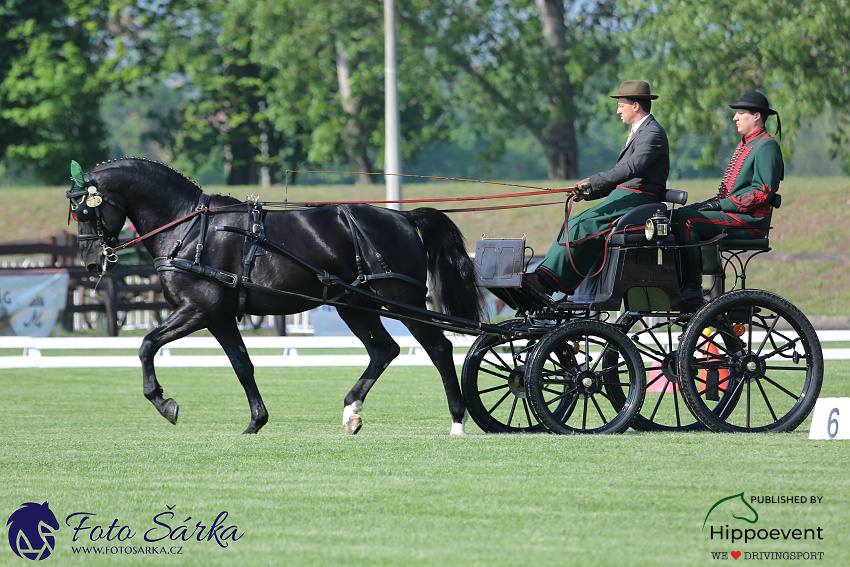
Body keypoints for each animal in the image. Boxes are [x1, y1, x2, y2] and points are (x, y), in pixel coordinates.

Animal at [64, 158, 484, 438]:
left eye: (85, 210)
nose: (90, 262)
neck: (189, 227)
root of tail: (403, 218)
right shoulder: (219, 317)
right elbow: (242, 366)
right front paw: (256, 421)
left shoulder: (198, 310)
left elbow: (147, 345)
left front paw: (164, 403)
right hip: (356, 307)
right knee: (384, 350)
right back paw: (351, 411)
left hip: (401, 300)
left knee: (439, 348)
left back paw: (458, 420)